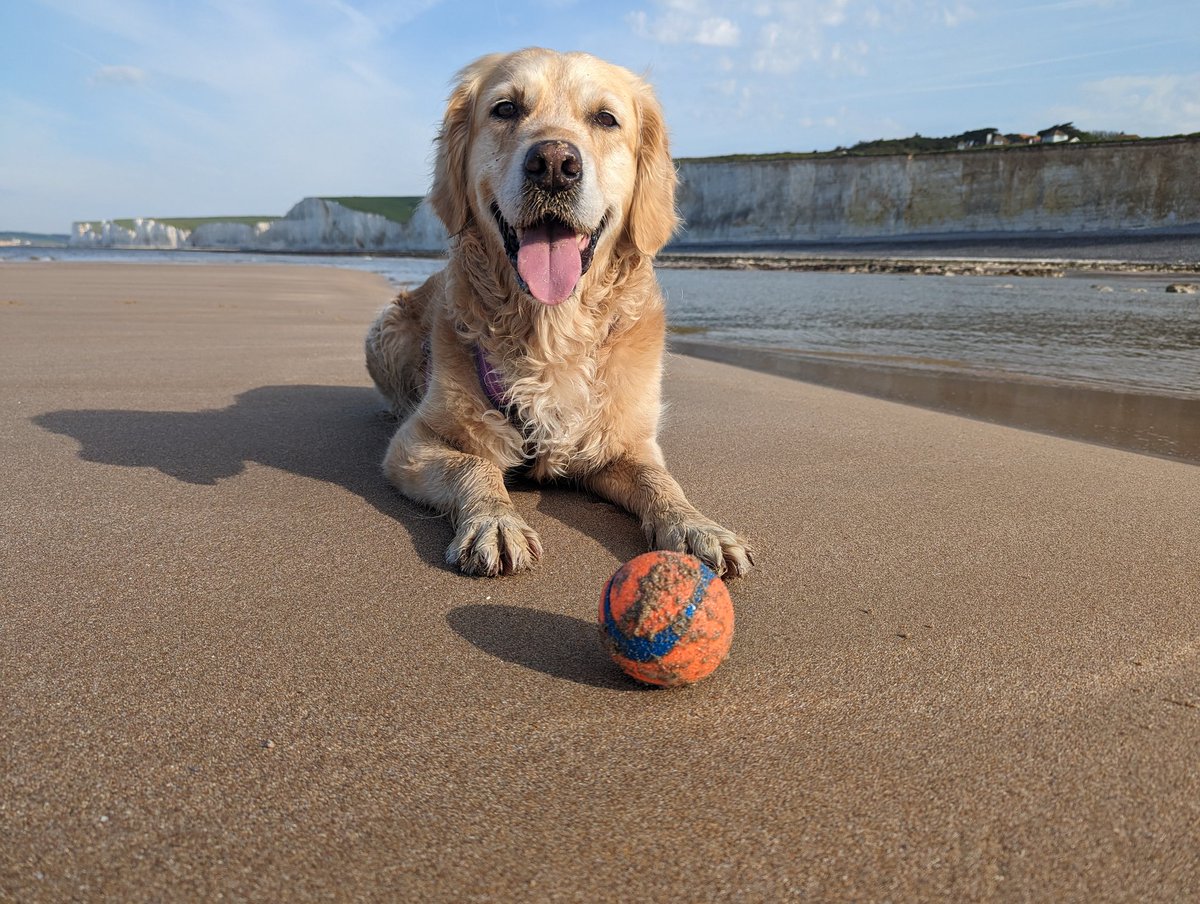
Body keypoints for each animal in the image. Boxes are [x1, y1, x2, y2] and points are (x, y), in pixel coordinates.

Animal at [362, 45, 748, 573]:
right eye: (506, 108)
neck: (550, 330)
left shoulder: (627, 442)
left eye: (605, 118)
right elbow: (473, 463)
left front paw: (697, 527)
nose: (552, 164)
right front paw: (495, 521)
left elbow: (661, 481)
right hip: (385, 333)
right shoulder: (415, 441)